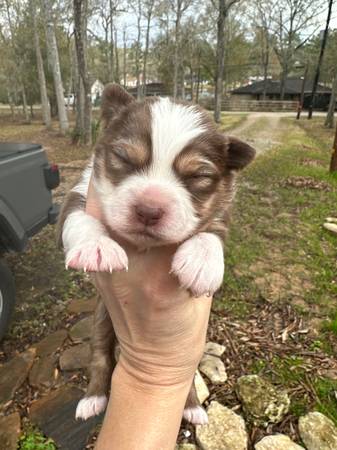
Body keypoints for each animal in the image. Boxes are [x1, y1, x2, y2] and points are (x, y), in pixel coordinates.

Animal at [58, 83, 255, 426]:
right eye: (123, 157)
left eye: (198, 177)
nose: (149, 209)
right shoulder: (79, 192)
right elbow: (79, 218)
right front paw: (96, 247)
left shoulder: (220, 211)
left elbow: (213, 232)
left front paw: (202, 261)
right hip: (101, 318)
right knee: (100, 357)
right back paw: (93, 398)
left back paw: (192, 407)